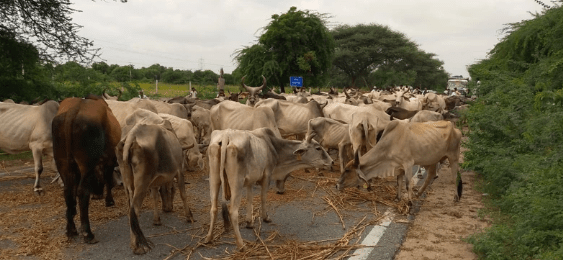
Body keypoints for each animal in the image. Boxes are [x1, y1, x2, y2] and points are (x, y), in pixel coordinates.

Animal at [51, 95, 121, 244]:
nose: (98, 193)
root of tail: (73, 110)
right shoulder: (110, 159)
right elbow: (107, 179)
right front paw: (109, 200)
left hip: (62, 162)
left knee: (68, 191)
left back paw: (71, 229)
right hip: (87, 163)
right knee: (82, 192)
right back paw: (88, 233)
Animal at [115, 121, 195, 254]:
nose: (169, 207)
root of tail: (133, 134)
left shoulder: (154, 182)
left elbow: (155, 198)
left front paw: (157, 220)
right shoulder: (180, 171)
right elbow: (183, 194)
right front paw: (189, 216)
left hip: (128, 183)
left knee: (130, 209)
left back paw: (134, 243)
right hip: (142, 182)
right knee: (135, 208)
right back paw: (137, 246)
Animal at [334, 120, 462, 203]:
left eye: (347, 170)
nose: (336, 185)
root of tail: (455, 128)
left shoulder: (408, 164)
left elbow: (407, 184)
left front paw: (409, 204)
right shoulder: (398, 167)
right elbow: (399, 182)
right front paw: (398, 198)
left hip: (453, 157)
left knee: (454, 176)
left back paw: (456, 197)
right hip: (431, 160)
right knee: (430, 175)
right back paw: (419, 193)